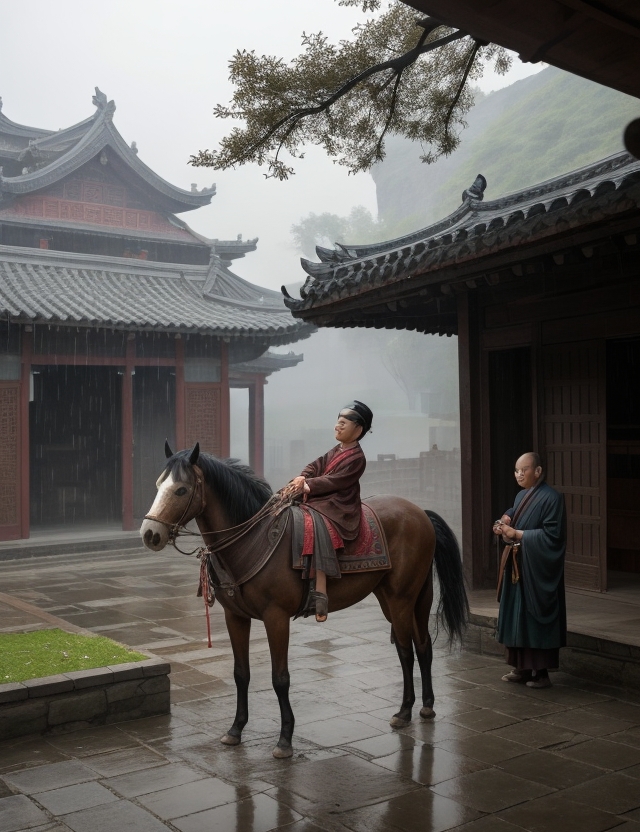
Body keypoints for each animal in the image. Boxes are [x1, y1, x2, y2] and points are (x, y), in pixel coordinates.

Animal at [141, 446, 470, 756]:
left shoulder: (276, 617)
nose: (149, 533)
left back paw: (404, 711)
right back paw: (427, 705)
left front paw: (285, 739)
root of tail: (420, 512)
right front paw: (235, 730)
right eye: (157, 484)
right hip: (401, 597)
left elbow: (280, 678)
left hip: (402, 598)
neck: (252, 539)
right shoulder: (235, 616)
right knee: (423, 645)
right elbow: (240, 674)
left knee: (406, 650)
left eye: (181, 490)